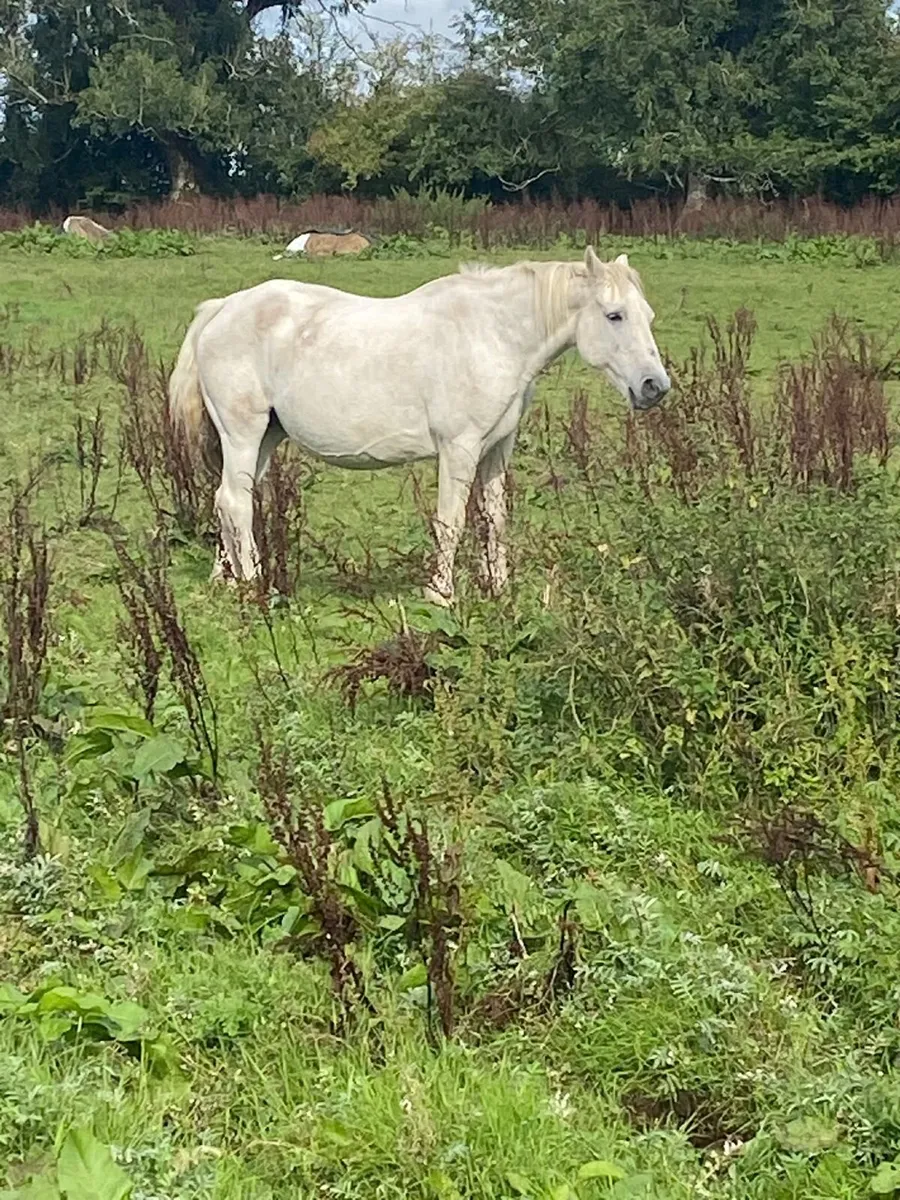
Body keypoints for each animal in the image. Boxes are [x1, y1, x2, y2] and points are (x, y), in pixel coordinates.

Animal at [168, 246, 670, 605]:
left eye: (648, 316)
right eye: (614, 316)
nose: (655, 387)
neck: (494, 335)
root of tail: (222, 309)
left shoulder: (497, 449)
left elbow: (494, 518)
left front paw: (499, 588)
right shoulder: (460, 448)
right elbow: (451, 520)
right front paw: (441, 594)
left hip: (265, 439)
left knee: (229, 498)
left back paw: (228, 578)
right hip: (243, 433)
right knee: (235, 502)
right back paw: (255, 586)